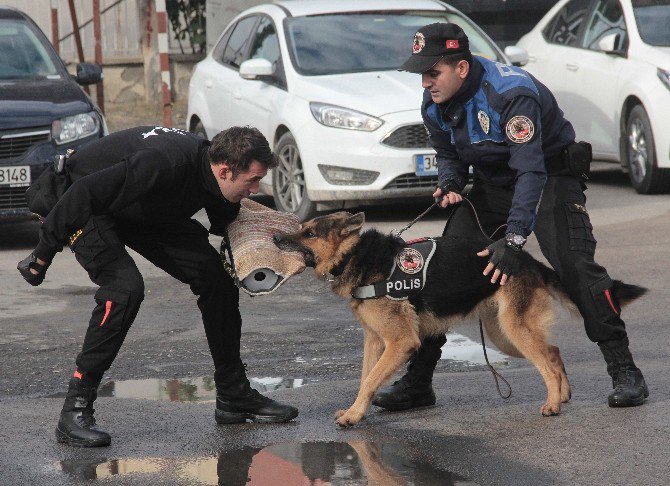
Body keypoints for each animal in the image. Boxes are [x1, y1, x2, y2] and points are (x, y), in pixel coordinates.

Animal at [276, 212, 648, 426]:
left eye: (309, 234)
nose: (277, 238)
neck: (355, 255)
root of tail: (527, 261)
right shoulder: (375, 341)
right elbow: (365, 379)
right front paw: (357, 411)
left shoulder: (400, 343)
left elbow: (370, 381)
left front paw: (353, 417)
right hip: (504, 336)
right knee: (553, 352)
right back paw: (564, 395)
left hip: (513, 331)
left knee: (545, 360)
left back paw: (553, 404)